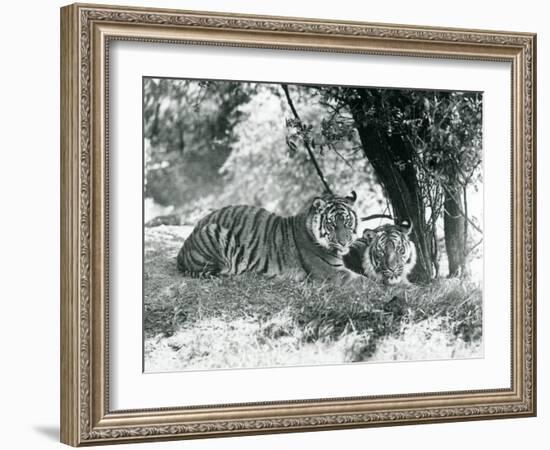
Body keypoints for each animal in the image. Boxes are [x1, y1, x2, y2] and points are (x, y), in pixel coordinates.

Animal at [175, 191, 360, 282]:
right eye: (331, 225)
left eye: (347, 222)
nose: (345, 242)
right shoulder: (332, 272)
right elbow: (363, 281)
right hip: (213, 233)